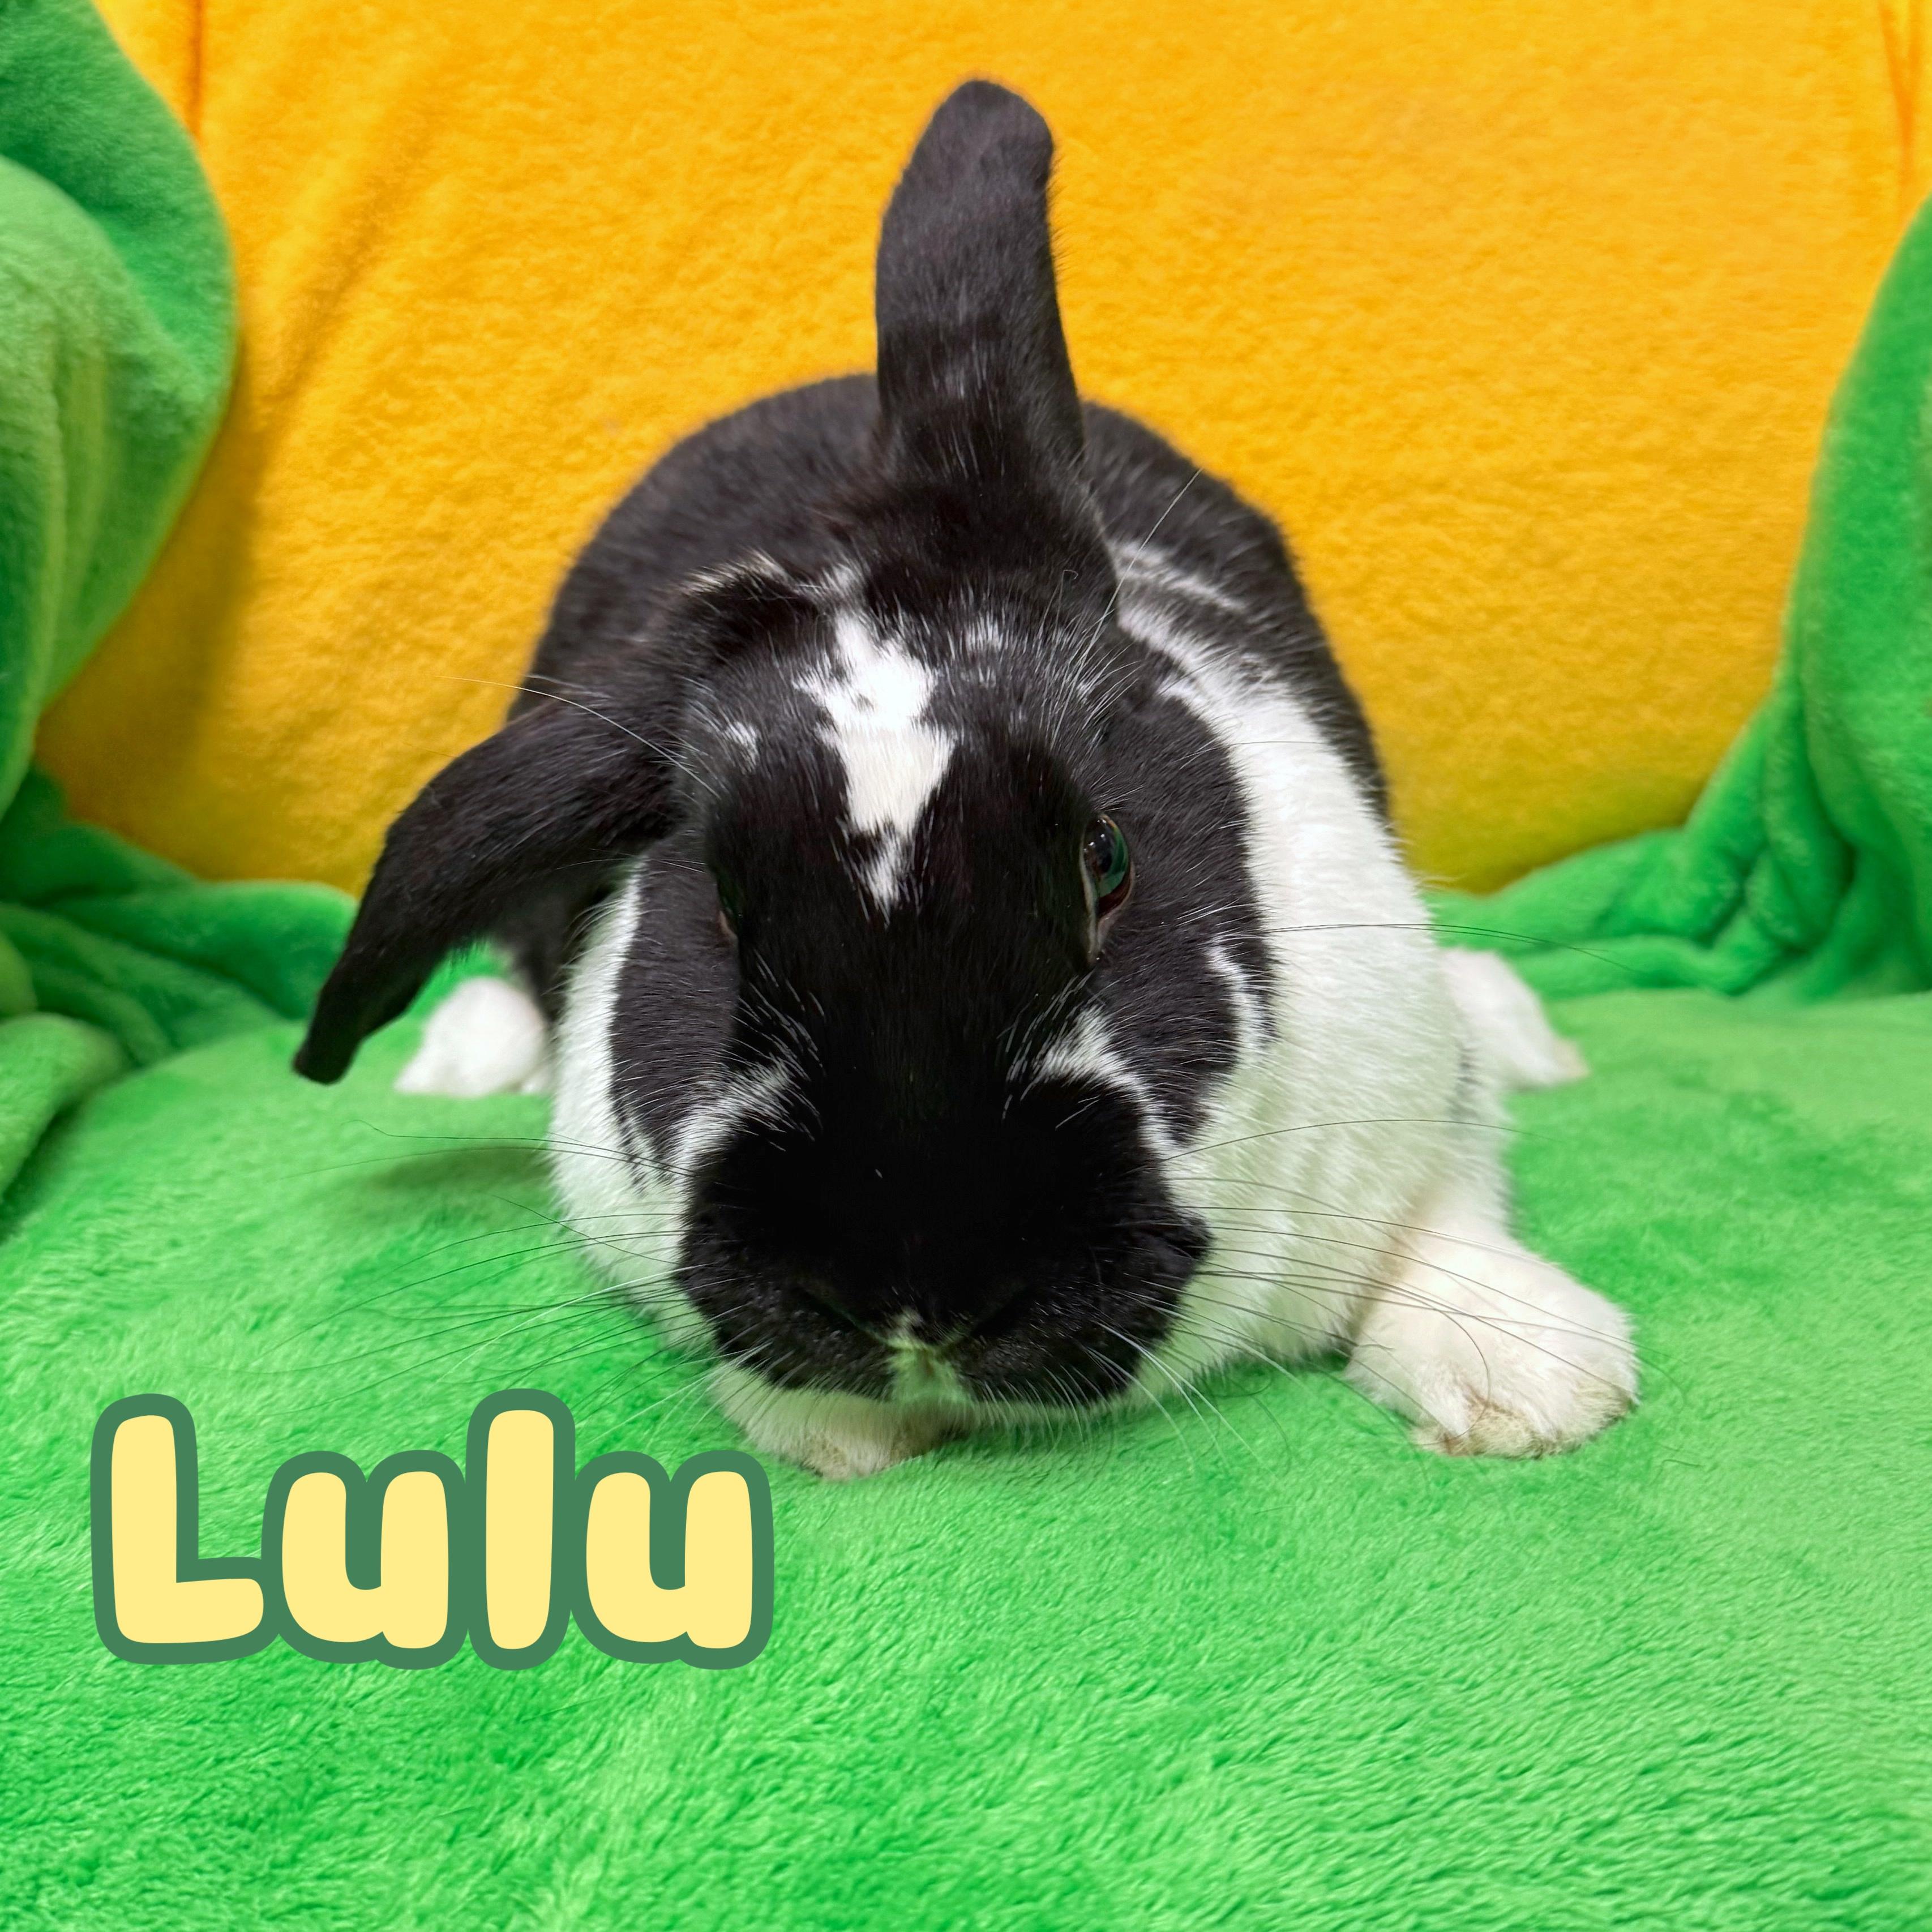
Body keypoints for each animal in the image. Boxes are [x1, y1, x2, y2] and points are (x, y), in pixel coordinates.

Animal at [295, 80, 1636, 1479]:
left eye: (1104, 858)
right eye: (717, 903)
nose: (915, 1308)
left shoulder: (1403, 1071)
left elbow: (1450, 1193)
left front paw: (1525, 1378)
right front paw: (836, 1431)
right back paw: (460, 1057)